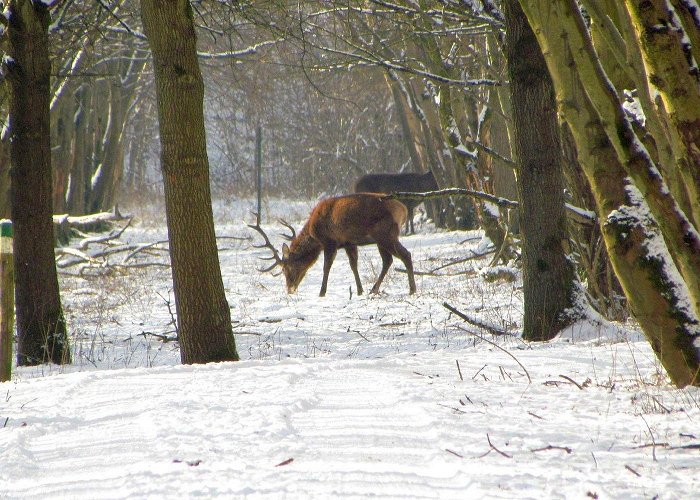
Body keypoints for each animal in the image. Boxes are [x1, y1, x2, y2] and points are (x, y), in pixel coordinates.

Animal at [249, 193, 416, 296]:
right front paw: (359, 290)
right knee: (388, 260)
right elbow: (353, 265)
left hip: (385, 235)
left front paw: (321, 292)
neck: (314, 235)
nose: (290, 289)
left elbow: (326, 267)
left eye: (286, 268)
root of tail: (403, 209)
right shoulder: (349, 242)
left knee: (405, 255)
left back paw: (412, 290)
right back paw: (373, 290)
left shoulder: (329, 241)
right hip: (382, 239)